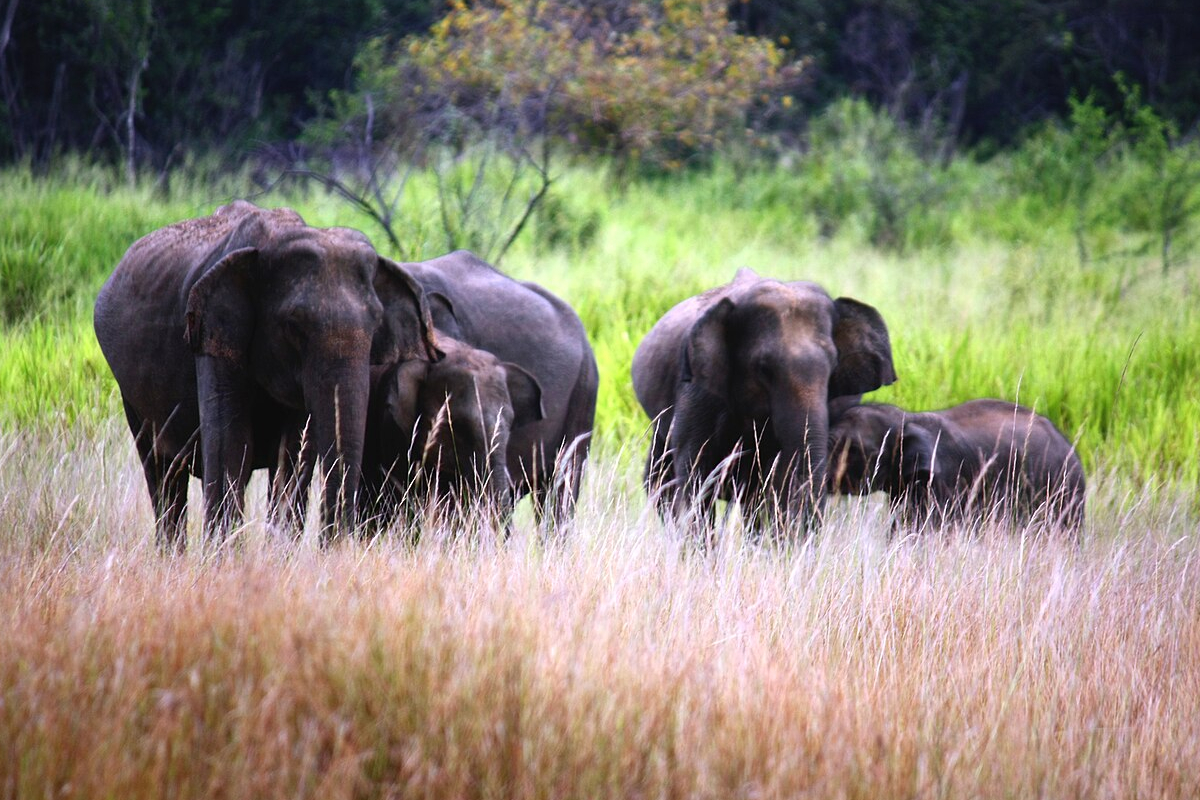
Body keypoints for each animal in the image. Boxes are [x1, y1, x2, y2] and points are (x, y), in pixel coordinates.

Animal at [93, 200, 438, 551]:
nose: (334, 547)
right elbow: (232, 444)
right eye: (294, 326)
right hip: (129, 392)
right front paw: (225, 559)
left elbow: (295, 451)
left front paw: (278, 554)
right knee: (162, 471)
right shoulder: (213, 335)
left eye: (376, 324)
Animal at [631, 268, 896, 538]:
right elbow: (695, 473)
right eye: (764, 369)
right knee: (660, 477)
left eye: (833, 367)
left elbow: (776, 482)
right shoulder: (697, 390)